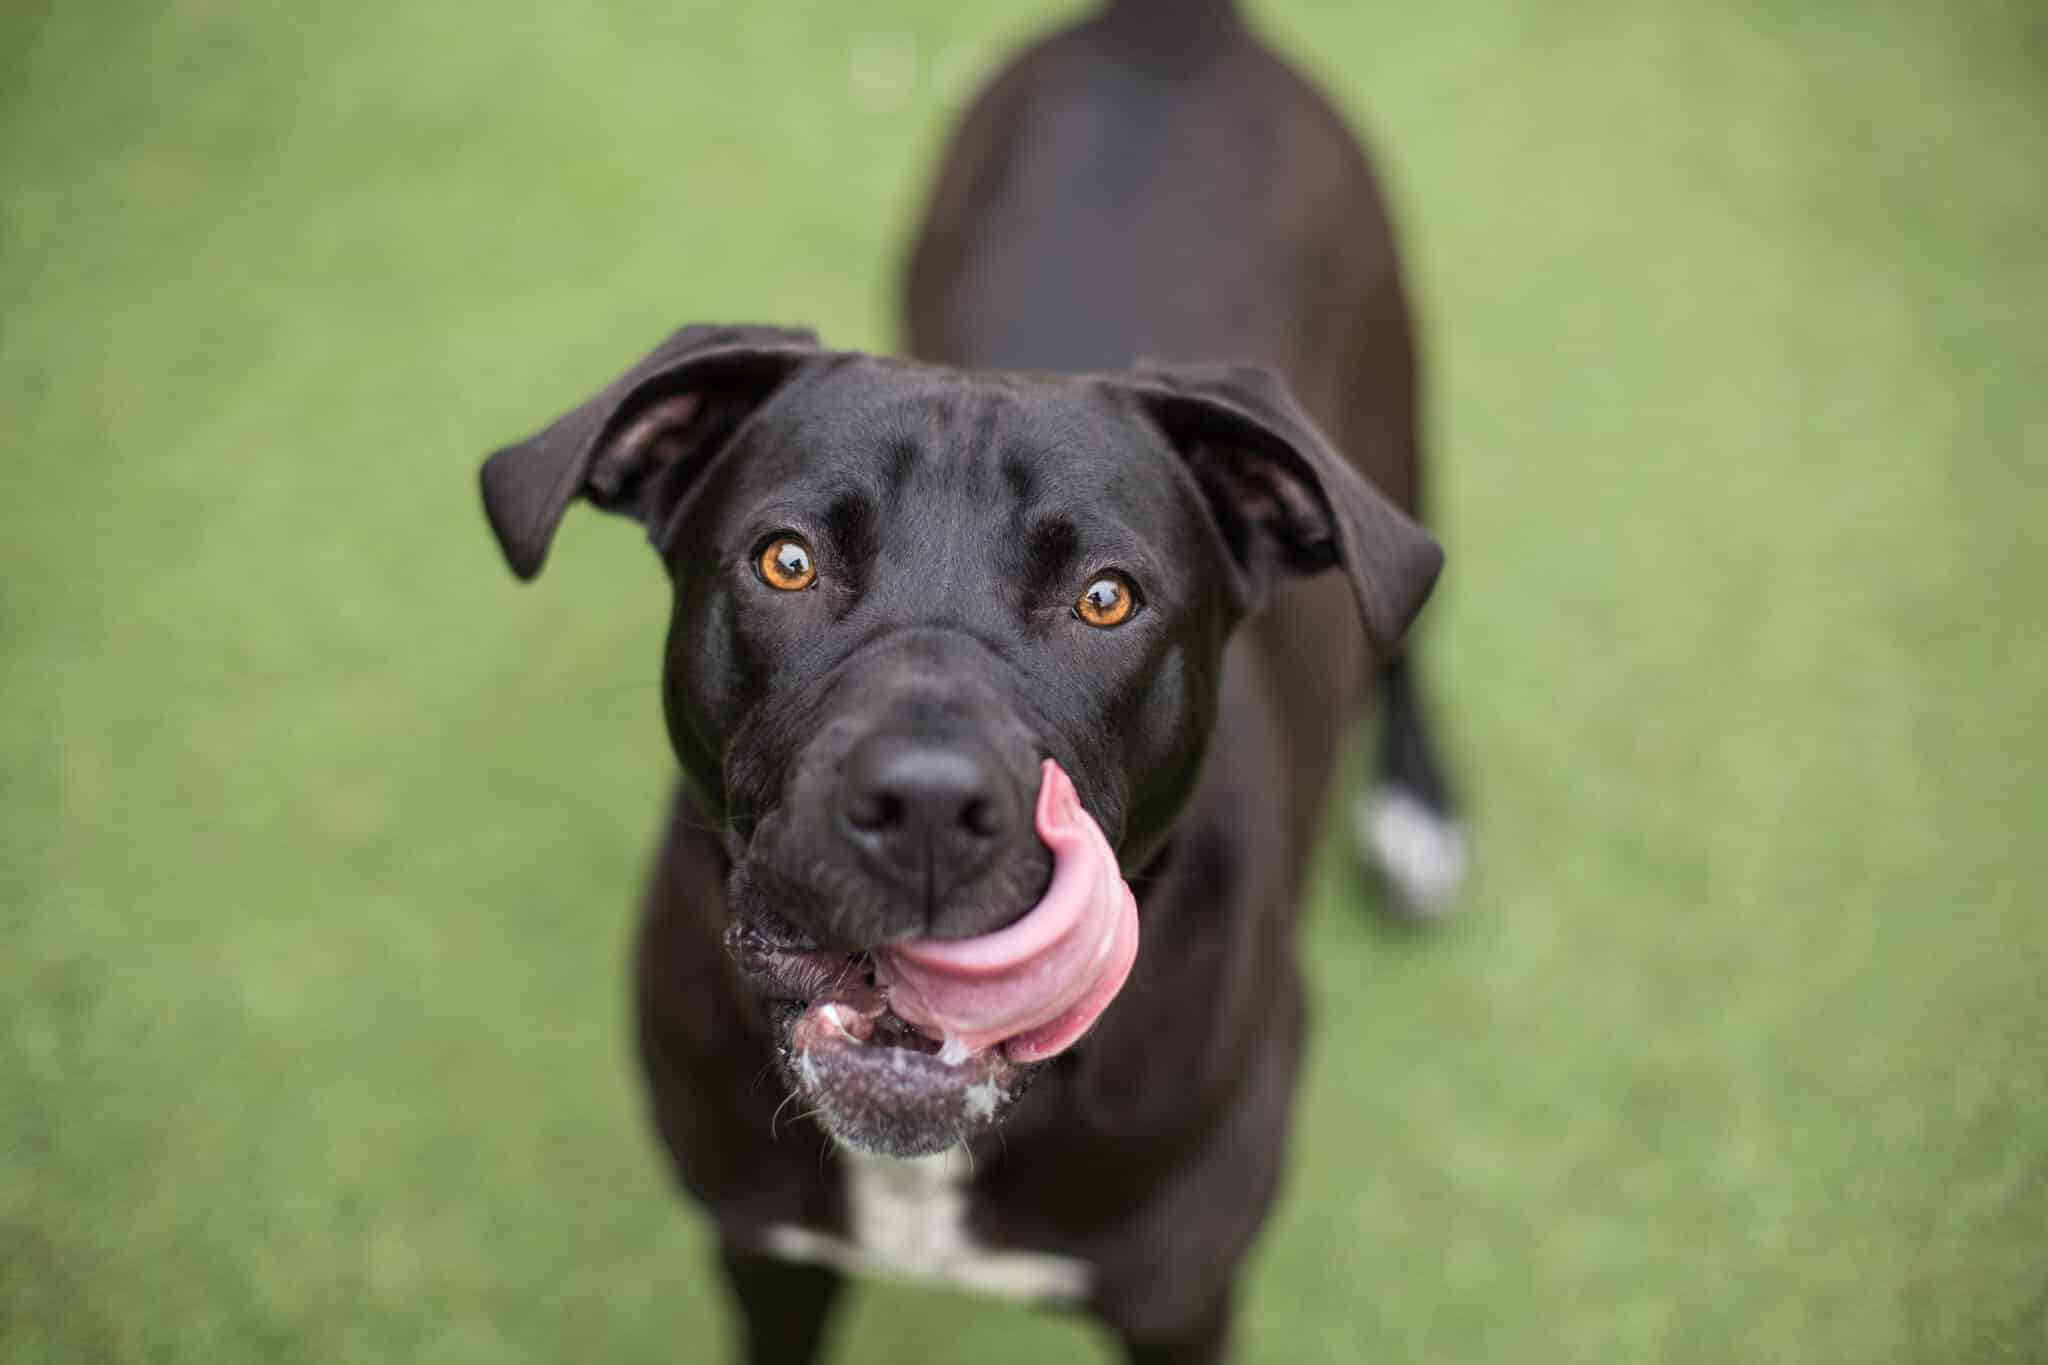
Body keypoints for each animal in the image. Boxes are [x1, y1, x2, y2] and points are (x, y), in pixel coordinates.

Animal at [479, 2, 1466, 1365]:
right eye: (785, 560)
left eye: (1106, 596)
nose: (928, 809)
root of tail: (1168, 24)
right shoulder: (760, 1252)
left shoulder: (1181, 1297)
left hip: (1393, 421)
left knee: (1405, 614)